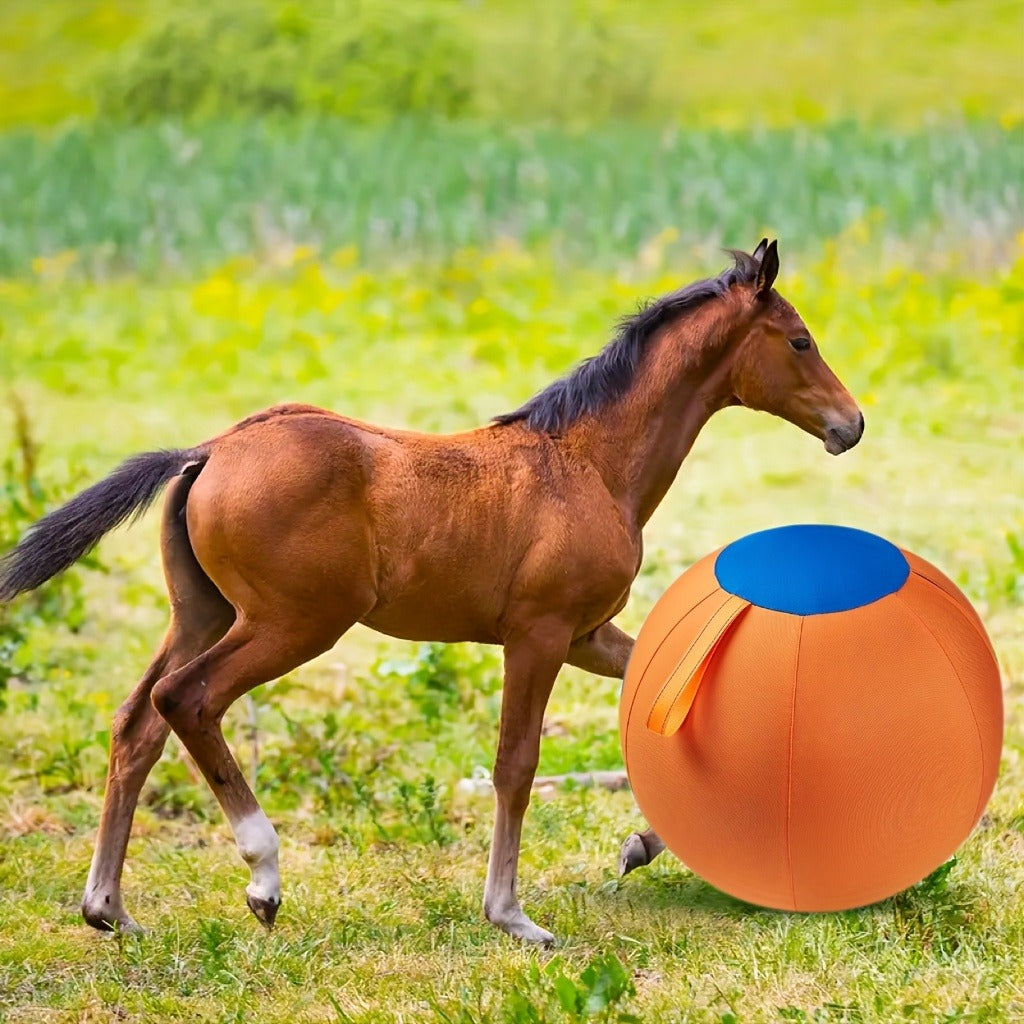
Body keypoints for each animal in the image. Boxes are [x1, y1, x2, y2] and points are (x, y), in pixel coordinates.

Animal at [0, 239, 863, 944]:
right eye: (800, 340)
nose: (850, 424)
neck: (588, 462)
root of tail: (209, 449)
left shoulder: (586, 635)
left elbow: (654, 703)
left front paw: (640, 845)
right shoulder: (539, 634)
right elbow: (515, 764)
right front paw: (512, 916)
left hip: (204, 613)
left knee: (135, 722)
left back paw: (108, 909)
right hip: (293, 623)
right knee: (186, 699)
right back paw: (262, 877)